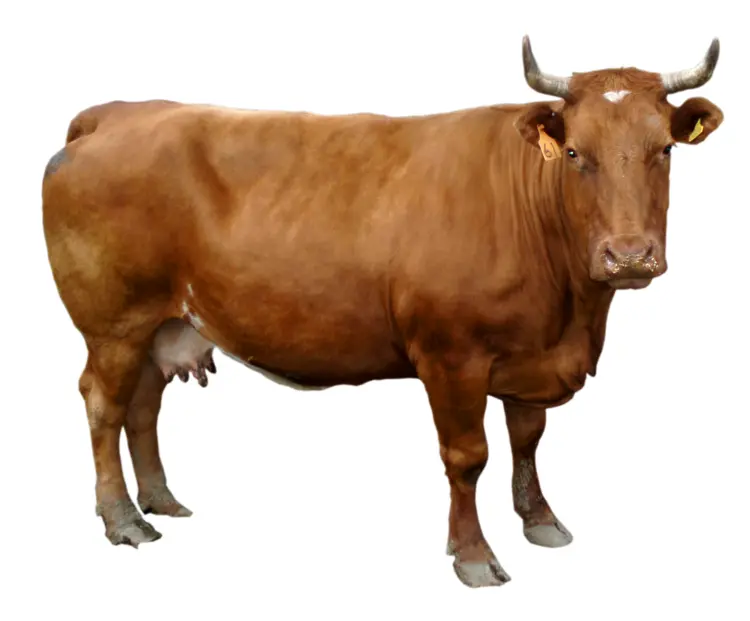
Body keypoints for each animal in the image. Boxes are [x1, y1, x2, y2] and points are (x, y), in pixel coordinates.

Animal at [41, 36, 723, 588]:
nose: (629, 255)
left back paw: (159, 499)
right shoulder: (452, 355)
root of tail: (116, 113)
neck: (571, 315)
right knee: (104, 405)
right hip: (113, 323)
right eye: (577, 153)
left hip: (162, 323)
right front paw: (473, 556)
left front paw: (541, 520)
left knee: (143, 405)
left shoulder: (531, 354)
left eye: (665, 149)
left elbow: (527, 440)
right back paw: (122, 518)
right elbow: (467, 456)